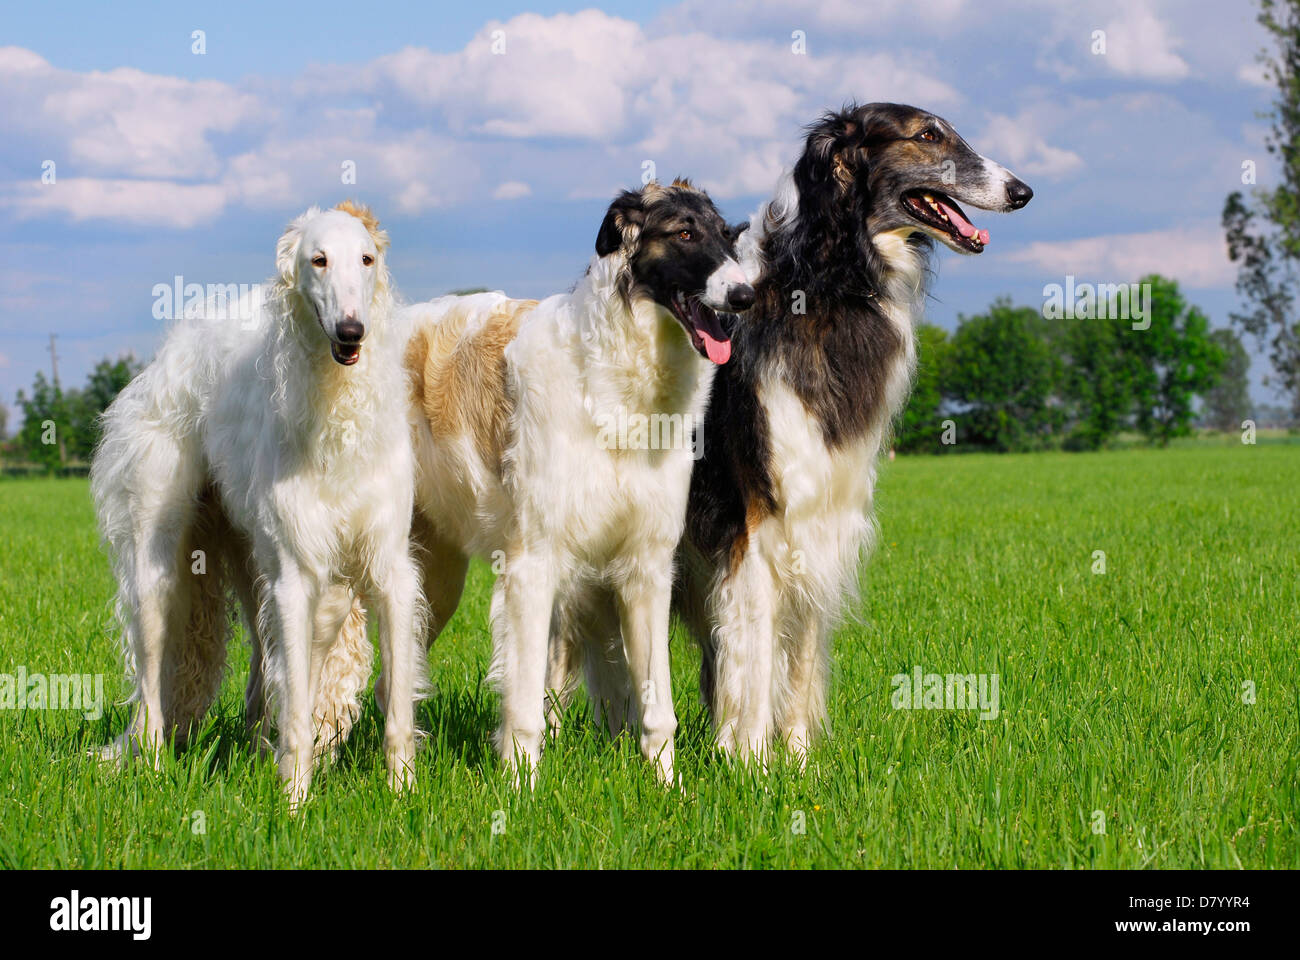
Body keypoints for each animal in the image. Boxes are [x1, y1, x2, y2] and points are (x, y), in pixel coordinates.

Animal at [92, 205, 426, 806]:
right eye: (319, 259)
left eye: (367, 258)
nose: (351, 330)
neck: (338, 414)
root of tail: (174, 347)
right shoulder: (296, 574)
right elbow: (295, 709)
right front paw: (294, 803)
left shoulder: (387, 567)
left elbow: (393, 710)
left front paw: (402, 793)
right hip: (160, 562)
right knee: (152, 678)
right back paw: (151, 764)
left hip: (264, 568)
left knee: (263, 668)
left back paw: (253, 752)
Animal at [319, 180, 759, 785]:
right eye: (685, 233)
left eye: (728, 235)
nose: (746, 295)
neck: (610, 385)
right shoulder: (533, 564)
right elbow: (525, 710)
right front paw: (520, 790)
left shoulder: (645, 567)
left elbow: (658, 713)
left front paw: (669, 790)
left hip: (433, 576)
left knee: (391, 684)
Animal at [553, 102, 1029, 764]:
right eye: (929, 135)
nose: (1021, 191)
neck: (824, 282)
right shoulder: (755, 519)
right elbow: (751, 658)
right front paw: (750, 761)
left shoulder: (819, 515)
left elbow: (798, 658)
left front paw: (799, 761)